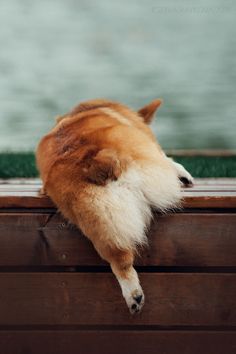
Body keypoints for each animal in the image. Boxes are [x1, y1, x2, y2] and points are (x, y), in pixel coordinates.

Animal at [36, 98, 193, 314]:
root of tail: (96, 162)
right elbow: (169, 159)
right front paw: (183, 174)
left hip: (100, 219)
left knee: (119, 259)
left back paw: (133, 296)